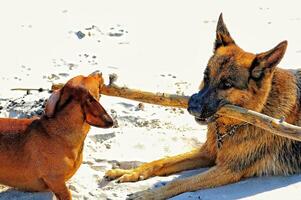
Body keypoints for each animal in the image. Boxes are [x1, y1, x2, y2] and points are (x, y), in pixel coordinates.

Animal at [105, 13, 298, 198]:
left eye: (226, 85)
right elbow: (162, 161)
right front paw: (129, 172)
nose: (192, 108)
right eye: (206, 76)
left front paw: (148, 194)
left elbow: (178, 183)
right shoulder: (208, 152)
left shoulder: (228, 170)